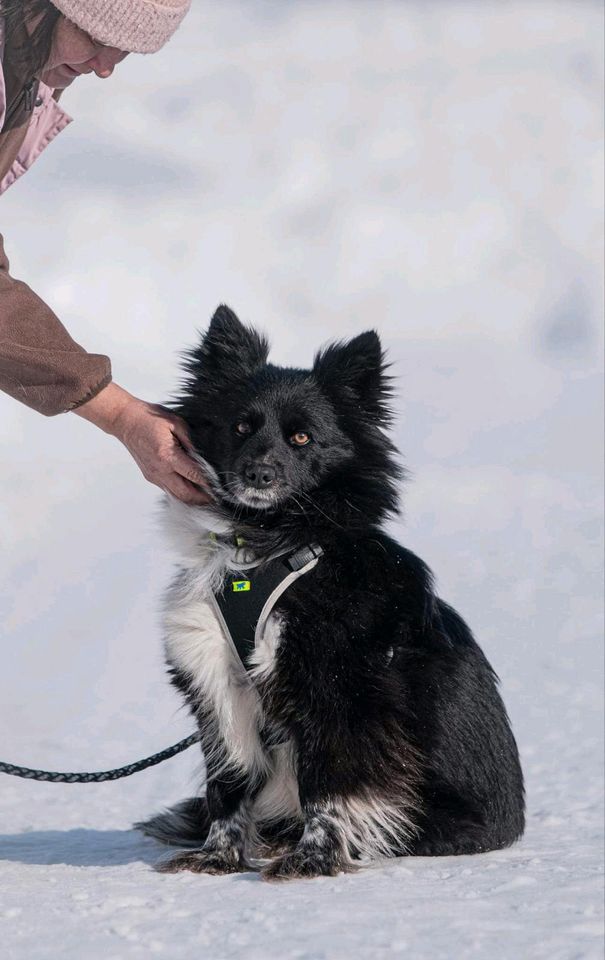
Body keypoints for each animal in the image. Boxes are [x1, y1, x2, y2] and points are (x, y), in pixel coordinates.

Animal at [134, 306, 520, 876]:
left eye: (302, 438)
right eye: (241, 426)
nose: (258, 473)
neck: (267, 544)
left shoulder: (343, 688)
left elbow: (331, 784)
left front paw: (312, 859)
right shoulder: (217, 679)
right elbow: (228, 780)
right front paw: (217, 855)